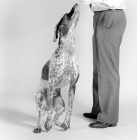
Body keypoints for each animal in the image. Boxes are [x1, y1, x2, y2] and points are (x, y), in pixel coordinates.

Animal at [33, 2, 80, 133]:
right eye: (66, 14)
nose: (76, 3)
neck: (68, 51)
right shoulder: (51, 84)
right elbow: (48, 113)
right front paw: (47, 125)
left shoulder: (73, 86)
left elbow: (70, 108)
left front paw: (66, 124)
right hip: (39, 98)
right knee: (41, 114)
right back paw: (39, 127)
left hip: (60, 103)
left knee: (55, 115)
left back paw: (59, 123)